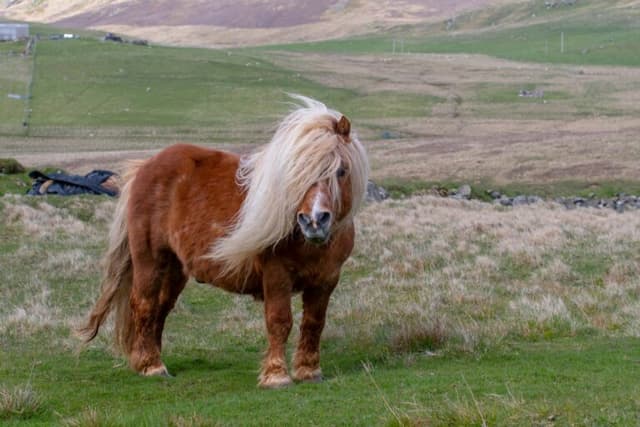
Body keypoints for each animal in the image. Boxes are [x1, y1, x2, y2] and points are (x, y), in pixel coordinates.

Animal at [78, 96, 369, 388]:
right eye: (296, 175)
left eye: (341, 170)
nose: (313, 220)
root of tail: (145, 167)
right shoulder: (277, 275)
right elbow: (280, 321)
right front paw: (277, 376)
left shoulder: (326, 280)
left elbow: (314, 323)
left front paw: (309, 372)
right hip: (150, 260)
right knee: (145, 304)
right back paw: (151, 365)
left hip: (175, 269)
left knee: (161, 308)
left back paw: (149, 360)